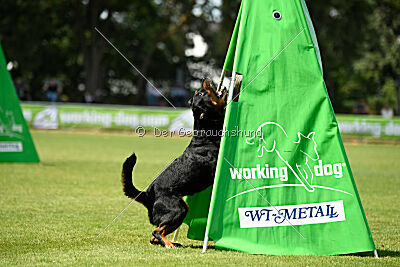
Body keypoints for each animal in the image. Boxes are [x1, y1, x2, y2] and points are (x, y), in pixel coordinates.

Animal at [120, 78, 227, 249]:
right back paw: (169, 244)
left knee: (155, 234)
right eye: (202, 93)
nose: (205, 81)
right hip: (179, 208)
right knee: (156, 231)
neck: (206, 133)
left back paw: (171, 243)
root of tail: (147, 195)